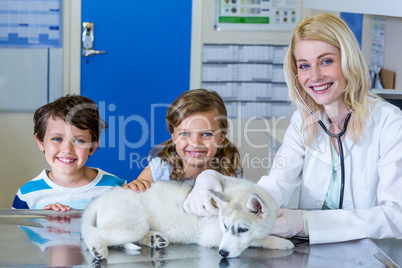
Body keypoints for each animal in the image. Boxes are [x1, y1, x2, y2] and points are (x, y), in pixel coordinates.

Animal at [81, 177, 294, 258]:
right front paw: (280, 242)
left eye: (242, 229)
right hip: (134, 222)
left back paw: (154, 238)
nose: (222, 254)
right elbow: (258, 240)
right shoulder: (212, 235)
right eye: (225, 226)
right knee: (93, 234)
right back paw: (97, 248)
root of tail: (97, 201)